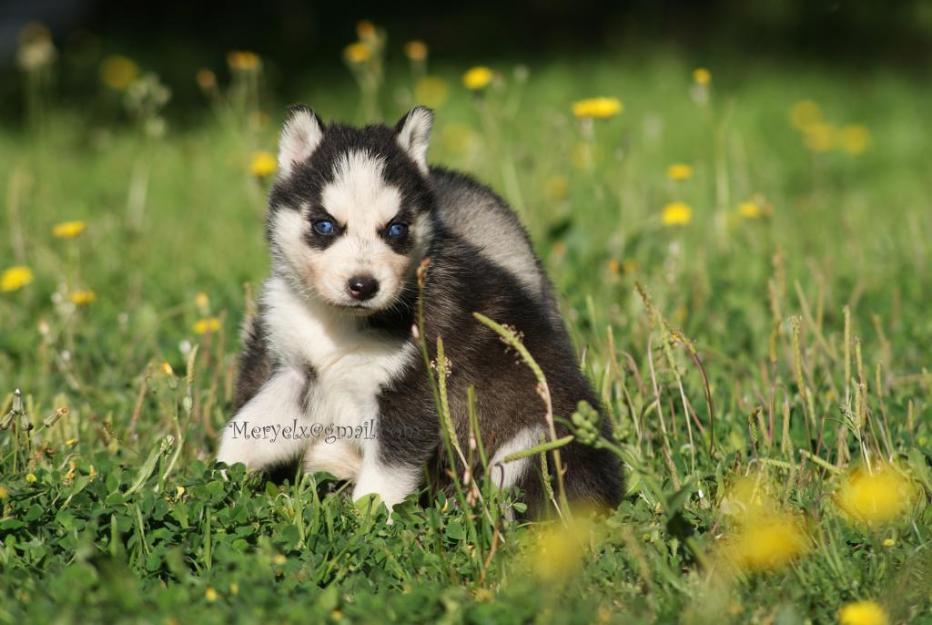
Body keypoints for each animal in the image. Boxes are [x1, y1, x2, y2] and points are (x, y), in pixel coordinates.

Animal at [219, 105, 624, 516]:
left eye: (396, 229)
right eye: (325, 225)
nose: (363, 285)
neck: (340, 323)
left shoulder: (412, 396)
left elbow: (382, 481)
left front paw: (367, 521)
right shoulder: (302, 375)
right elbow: (245, 430)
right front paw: (221, 476)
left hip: (535, 438)